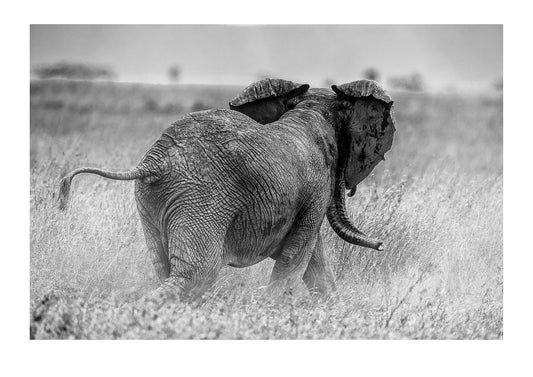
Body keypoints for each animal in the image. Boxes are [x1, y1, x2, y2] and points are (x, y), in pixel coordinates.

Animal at [58, 78, 392, 298]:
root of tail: (156, 159)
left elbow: (312, 258)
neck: (309, 110)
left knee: (164, 267)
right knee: (196, 273)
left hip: (151, 199)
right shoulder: (317, 186)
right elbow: (297, 255)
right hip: (202, 196)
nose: (381, 245)